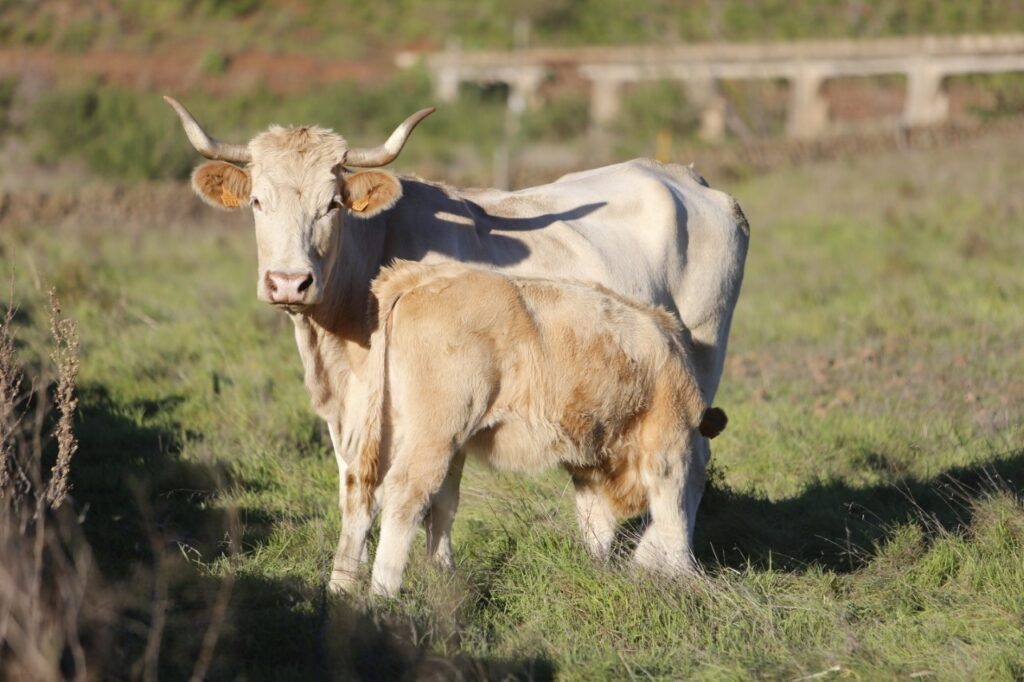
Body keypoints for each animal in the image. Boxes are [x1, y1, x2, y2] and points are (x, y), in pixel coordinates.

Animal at [331, 261, 724, 593]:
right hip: (435, 431)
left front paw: (602, 571)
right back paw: (383, 593)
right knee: (406, 495)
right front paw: (684, 578)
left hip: (396, 428)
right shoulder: (668, 442)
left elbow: (596, 522)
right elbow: (673, 514)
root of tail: (420, 275)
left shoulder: (588, 463)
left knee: (370, 492)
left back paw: (347, 588)